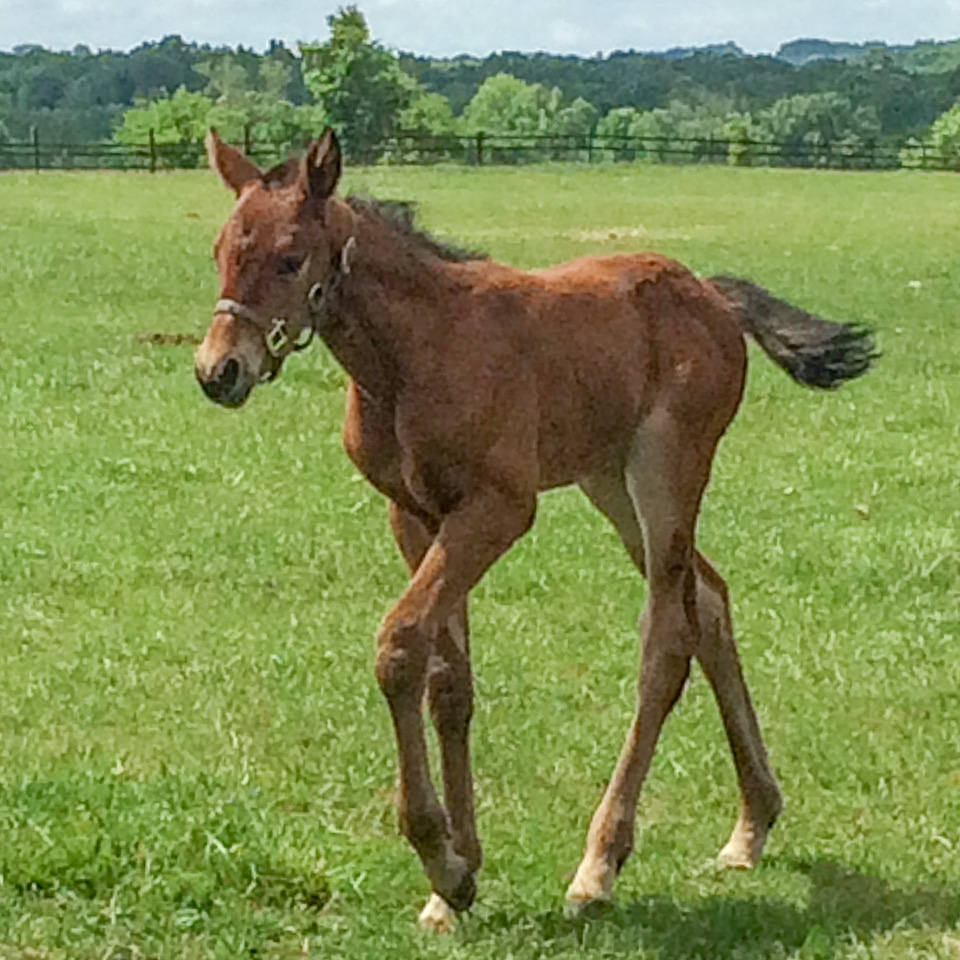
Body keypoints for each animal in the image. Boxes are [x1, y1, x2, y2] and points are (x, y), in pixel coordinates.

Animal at [195, 129, 876, 928]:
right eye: (220, 250)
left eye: (289, 258)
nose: (218, 371)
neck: (416, 351)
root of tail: (709, 293)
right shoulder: (415, 514)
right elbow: (447, 680)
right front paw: (456, 880)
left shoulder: (499, 508)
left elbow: (400, 645)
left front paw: (440, 857)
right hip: (606, 479)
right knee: (708, 600)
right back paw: (751, 825)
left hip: (665, 471)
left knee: (666, 640)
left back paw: (599, 865)